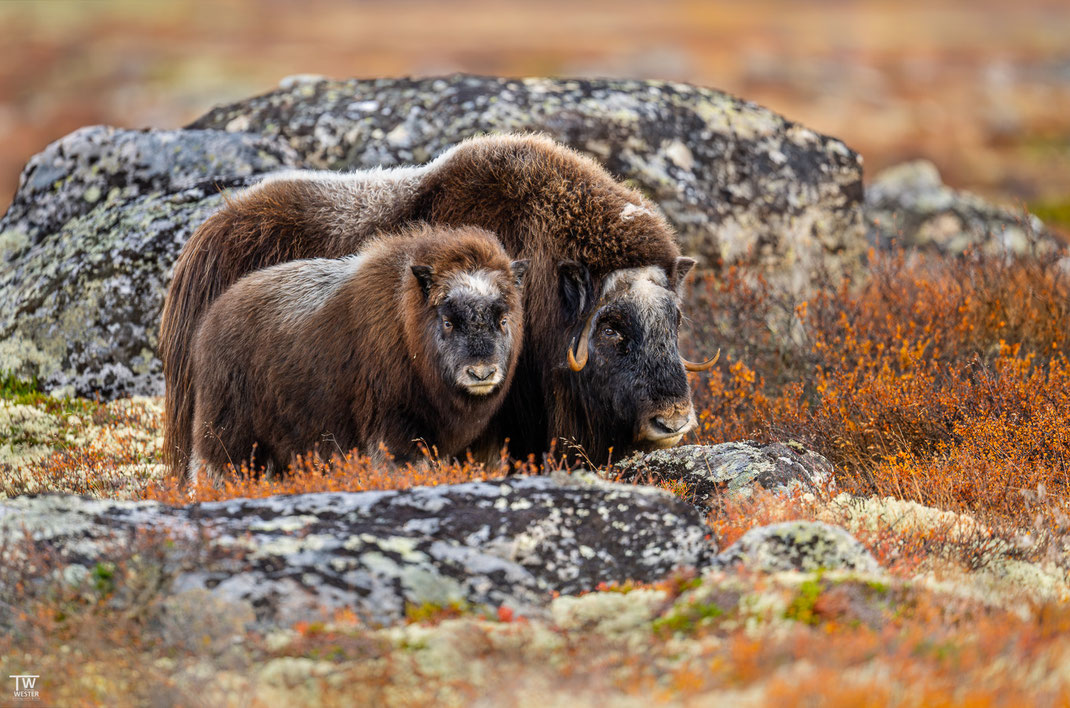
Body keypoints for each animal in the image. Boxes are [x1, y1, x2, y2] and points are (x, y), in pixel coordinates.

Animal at [191, 227, 530, 483]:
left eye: (502, 319)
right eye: (448, 321)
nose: (481, 373)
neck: (408, 328)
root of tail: (215, 314)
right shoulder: (393, 430)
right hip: (230, 436)